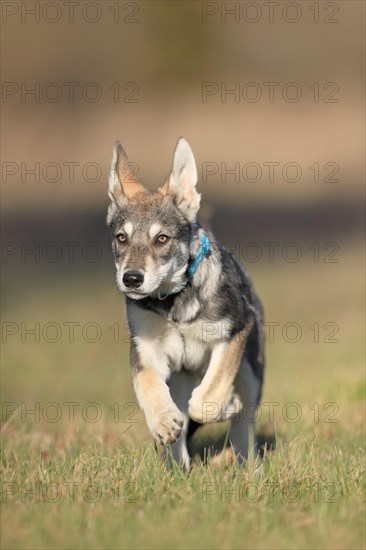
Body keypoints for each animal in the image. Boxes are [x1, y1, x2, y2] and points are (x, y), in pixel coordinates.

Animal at [107, 138, 264, 470]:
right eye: (122, 238)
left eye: (162, 239)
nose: (131, 279)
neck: (174, 303)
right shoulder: (146, 350)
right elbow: (148, 385)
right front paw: (164, 422)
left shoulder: (235, 330)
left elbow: (206, 401)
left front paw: (226, 403)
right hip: (180, 378)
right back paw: (177, 467)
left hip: (251, 371)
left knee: (243, 424)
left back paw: (247, 466)